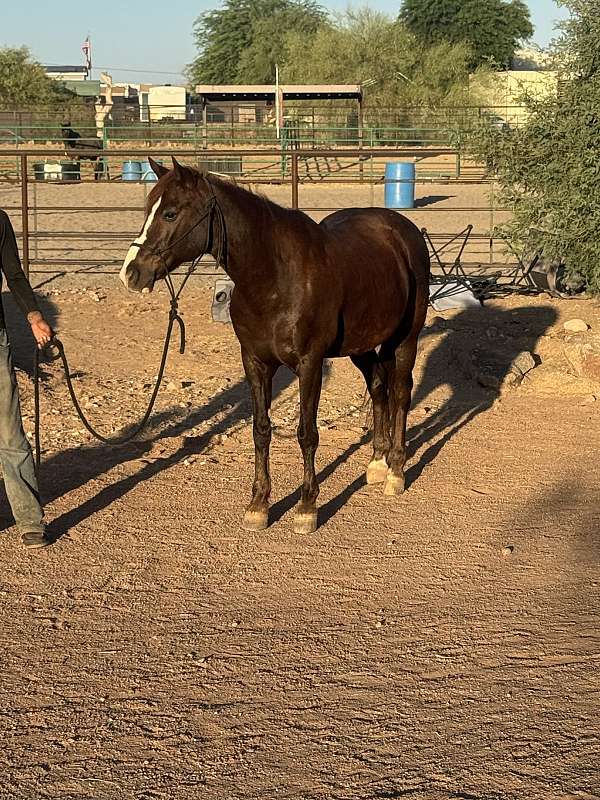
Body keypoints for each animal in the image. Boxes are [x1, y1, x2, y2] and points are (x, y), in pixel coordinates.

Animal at [120, 157, 430, 534]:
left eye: (170, 213)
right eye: (148, 208)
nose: (131, 273)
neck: (273, 279)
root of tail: (403, 230)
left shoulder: (309, 363)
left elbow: (306, 433)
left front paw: (307, 507)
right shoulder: (255, 362)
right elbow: (261, 430)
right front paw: (258, 505)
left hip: (405, 338)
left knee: (400, 393)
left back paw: (396, 472)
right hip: (362, 346)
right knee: (378, 389)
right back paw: (376, 463)